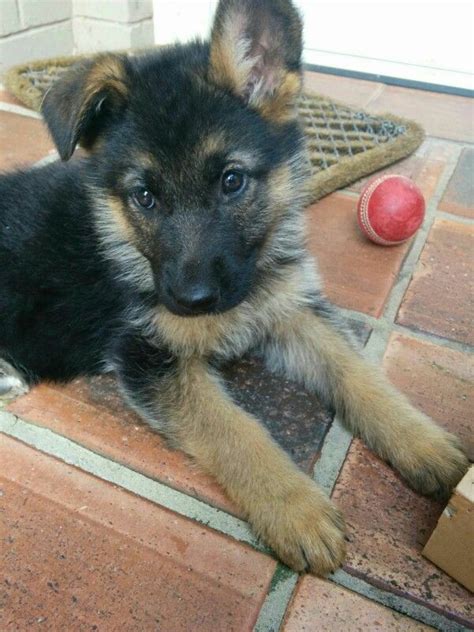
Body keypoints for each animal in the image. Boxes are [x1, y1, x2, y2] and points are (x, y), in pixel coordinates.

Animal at [0, 0, 466, 572]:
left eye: (232, 180)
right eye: (145, 196)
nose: (192, 301)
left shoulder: (292, 309)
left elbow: (358, 373)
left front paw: (423, 442)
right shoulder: (150, 357)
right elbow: (235, 428)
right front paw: (295, 509)